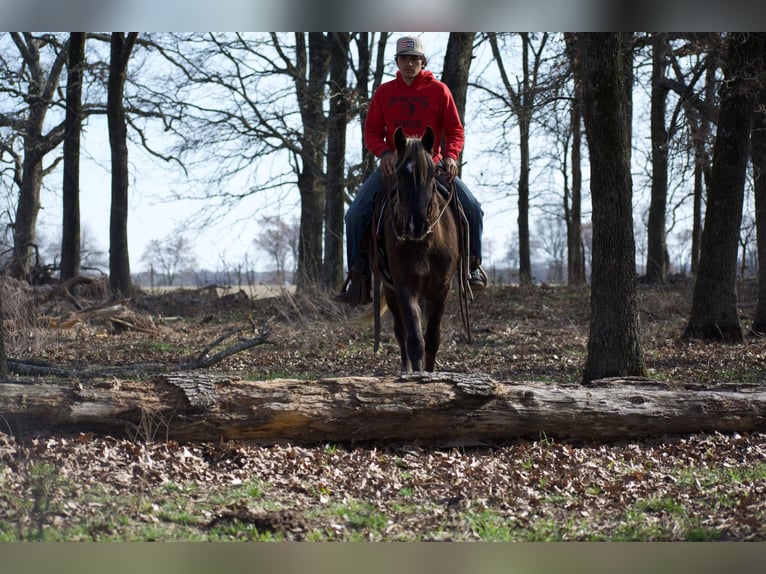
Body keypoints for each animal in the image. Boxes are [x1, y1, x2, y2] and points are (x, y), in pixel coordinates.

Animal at [370, 126, 470, 373]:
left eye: (432, 174)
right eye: (399, 174)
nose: (417, 225)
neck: (425, 244)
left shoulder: (441, 289)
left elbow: (432, 339)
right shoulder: (405, 287)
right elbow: (415, 339)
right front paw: (416, 376)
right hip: (390, 290)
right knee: (401, 333)